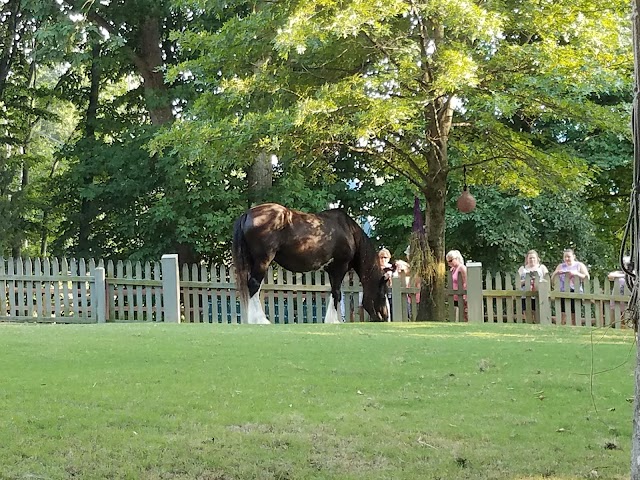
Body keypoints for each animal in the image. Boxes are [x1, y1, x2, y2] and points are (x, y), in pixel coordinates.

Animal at [230, 202, 390, 322]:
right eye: (383, 294)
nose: (385, 317)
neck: (348, 231)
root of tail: (248, 214)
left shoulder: (331, 269)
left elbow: (333, 292)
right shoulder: (340, 267)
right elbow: (337, 293)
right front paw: (334, 321)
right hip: (263, 260)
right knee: (254, 285)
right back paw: (260, 320)